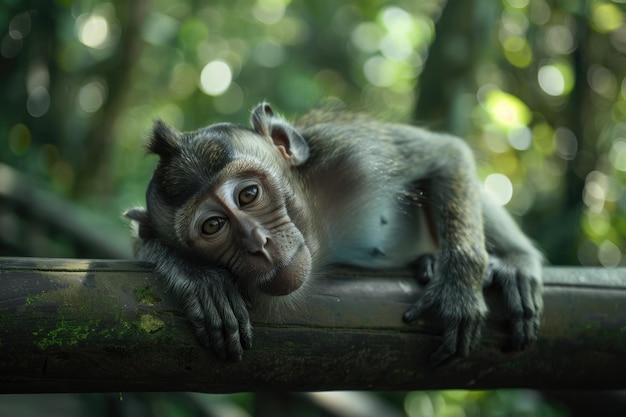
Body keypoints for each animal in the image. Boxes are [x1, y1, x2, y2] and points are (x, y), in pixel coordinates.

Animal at [124, 101, 540, 364]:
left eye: (248, 194)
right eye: (213, 226)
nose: (257, 244)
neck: (320, 224)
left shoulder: (352, 151)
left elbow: (446, 155)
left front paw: (459, 287)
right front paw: (201, 278)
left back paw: (512, 263)